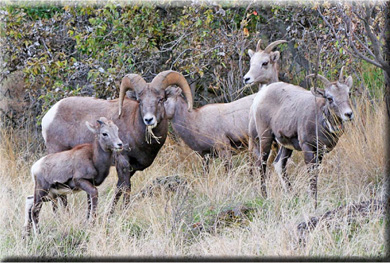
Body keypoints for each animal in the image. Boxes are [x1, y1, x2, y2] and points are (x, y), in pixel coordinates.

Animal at [42, 70, 193, 214]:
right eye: (140, 101)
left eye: (161, 99)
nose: (149, 120)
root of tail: (49, 116)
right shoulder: (123, 162)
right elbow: (126, 188)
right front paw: (125, 212)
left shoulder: (131, 168)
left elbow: (119, 188)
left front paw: (111, 214)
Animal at [250, 66, 354, 208]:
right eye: (329, 98)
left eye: (348, 93)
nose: (348, 114)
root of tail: (260, 95)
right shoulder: (307, 147)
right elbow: (312, 175)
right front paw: (314, 205)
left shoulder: (319, 151)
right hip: (265, 138)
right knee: (262, 164)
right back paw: (265, 197)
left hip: (286, 146)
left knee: (279, 164)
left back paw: (293, 196)